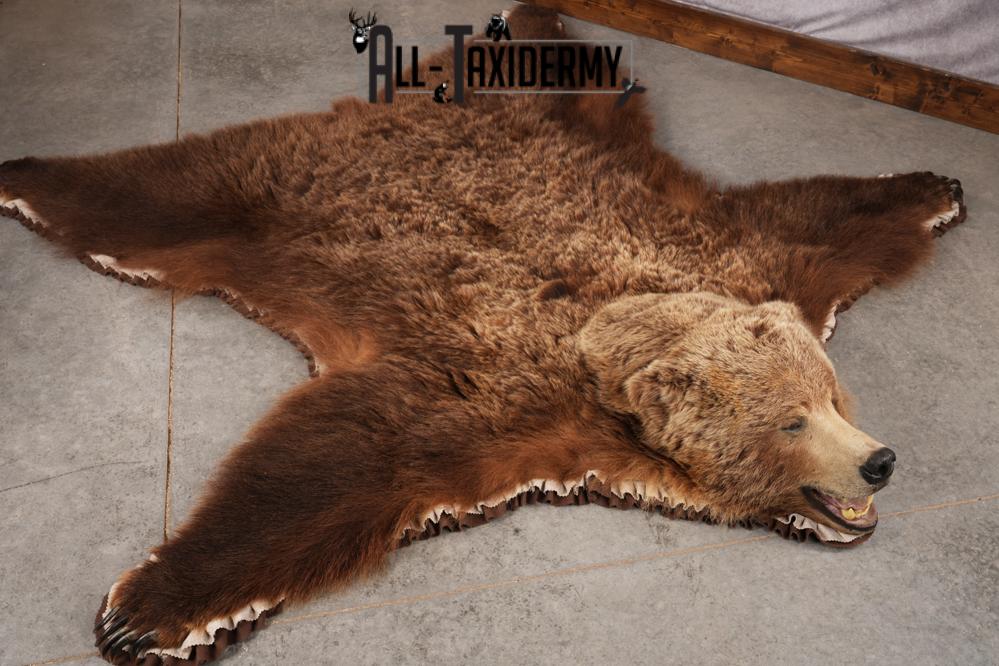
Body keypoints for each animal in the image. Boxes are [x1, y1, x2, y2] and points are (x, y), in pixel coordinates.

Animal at [0, 5, 965, 664]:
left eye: (831, 395)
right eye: (789, 422)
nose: (880, 461)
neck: (614, 330)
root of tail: (402, 105)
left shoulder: (745, 255)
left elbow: (827, 215)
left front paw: (937, 186)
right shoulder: (482, 400)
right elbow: (322, 465)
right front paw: (148, 610)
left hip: (569, 114)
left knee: (562, 62)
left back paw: (531, 14)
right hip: (260, 200)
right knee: (146, 190)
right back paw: (24, 171)